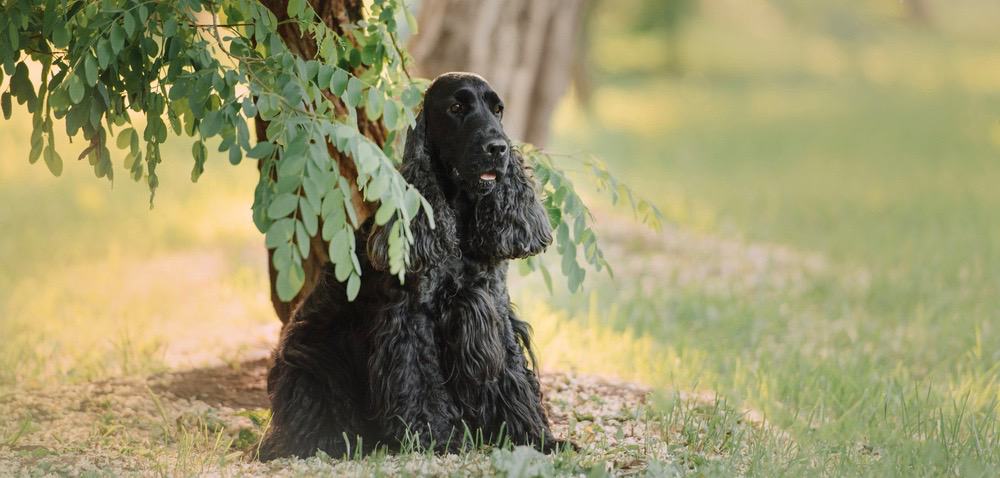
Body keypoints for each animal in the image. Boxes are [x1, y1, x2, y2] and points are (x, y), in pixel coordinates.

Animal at [260, 72, 564, 460]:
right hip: (312, 368)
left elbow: (511, 374)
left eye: (498, 109)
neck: (459, 219)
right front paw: (437, 438)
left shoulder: (493, 306)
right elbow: (421, 379)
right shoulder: (411, 317)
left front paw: (537, 437)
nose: (498, 148)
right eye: (456, 108)